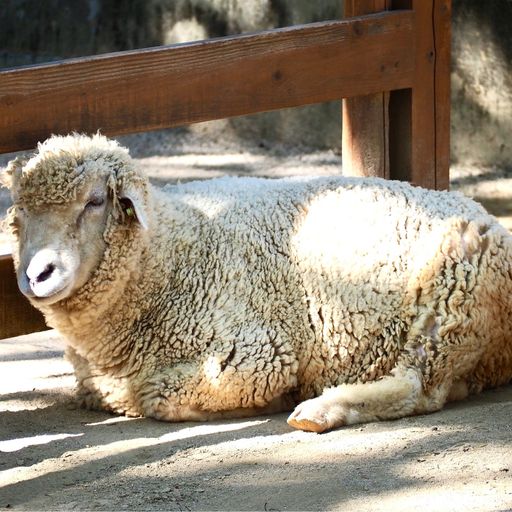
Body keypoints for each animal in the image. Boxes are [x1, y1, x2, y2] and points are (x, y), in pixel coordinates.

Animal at [1, 133, 512, 432]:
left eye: (94, 202)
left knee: (420, 389)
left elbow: (154, 395)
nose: (36, 274)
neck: (170, 253)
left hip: (453, 292)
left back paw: (321, 410)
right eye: (19, 211)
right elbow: (104, 392)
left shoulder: (257, 353)